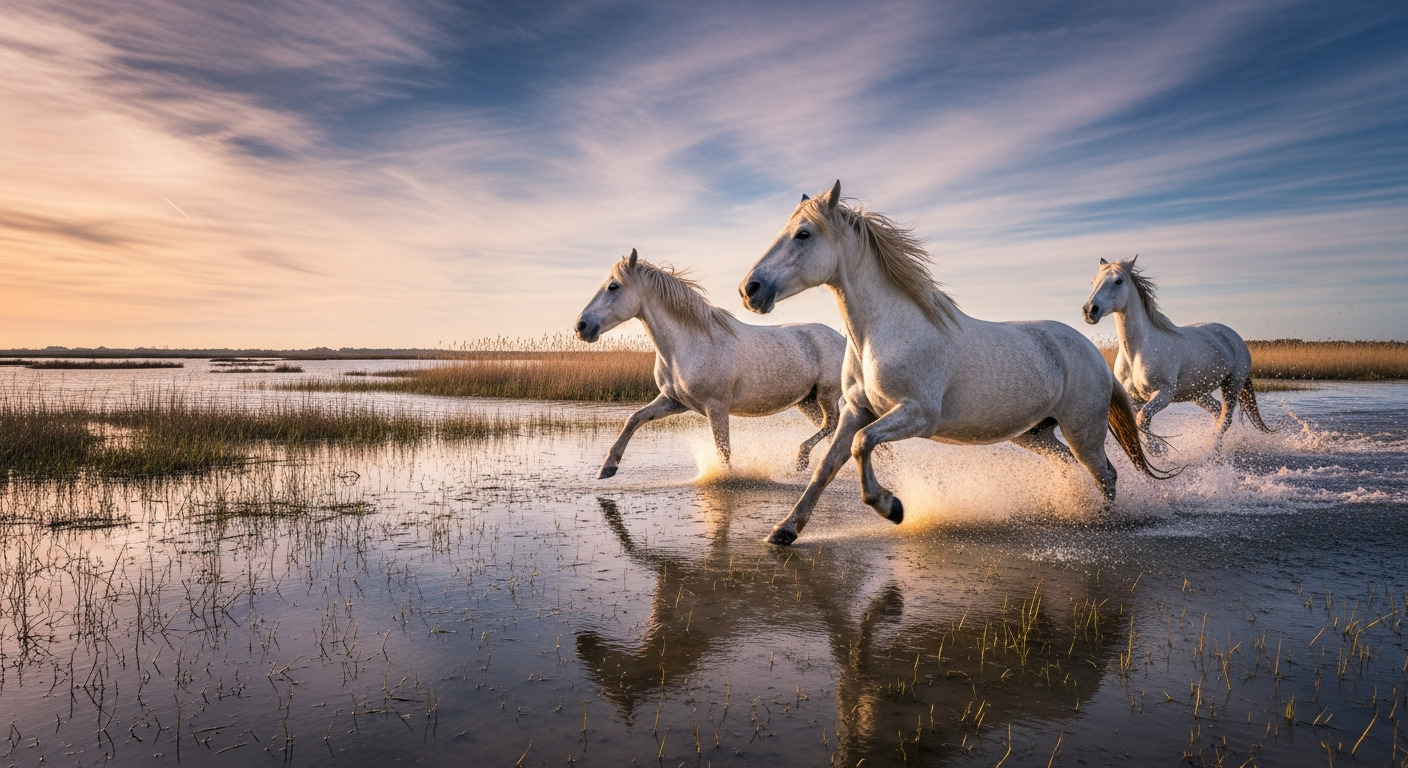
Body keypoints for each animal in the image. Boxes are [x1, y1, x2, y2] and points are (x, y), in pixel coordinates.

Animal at [575, 249, 846, 479]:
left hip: (826, 394)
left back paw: (801, 459)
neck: (689, 343)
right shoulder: (673, 401)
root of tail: (844, 340)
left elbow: (723, 452)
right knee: (833, 428)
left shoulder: (716, 408)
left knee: (832, 423)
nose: (581, 326)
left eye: (613, 286)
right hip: (807, 401)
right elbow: (634, 418)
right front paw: (607, 468)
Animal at [739, 181, 1171, 546]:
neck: (887, 331)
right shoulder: (856, 411)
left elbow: (862, 446)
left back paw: (1098, 521)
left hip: (1083, 430)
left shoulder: (917, 415)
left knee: (1107, 473)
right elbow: (827, 466)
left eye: (803, 234)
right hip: (1035, 434)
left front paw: (892, 508)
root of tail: (1093, 353)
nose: (749, 290)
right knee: (1070, 465)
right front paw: (784, 531)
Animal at [1082, 256, 1274, 452]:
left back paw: (1212, 450)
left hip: (1232, 384)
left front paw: (1160, 450)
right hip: (1198, 393)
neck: (1136, 352)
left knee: (1225, 419)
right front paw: (1159, 449)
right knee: (1217, 410)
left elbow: (1142, 419)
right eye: (1093, 281)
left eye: (1118, 281)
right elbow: (1137, 424)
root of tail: (1236, 338)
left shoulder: (1164, 393)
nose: (1090, 310)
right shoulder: (1134, 399)